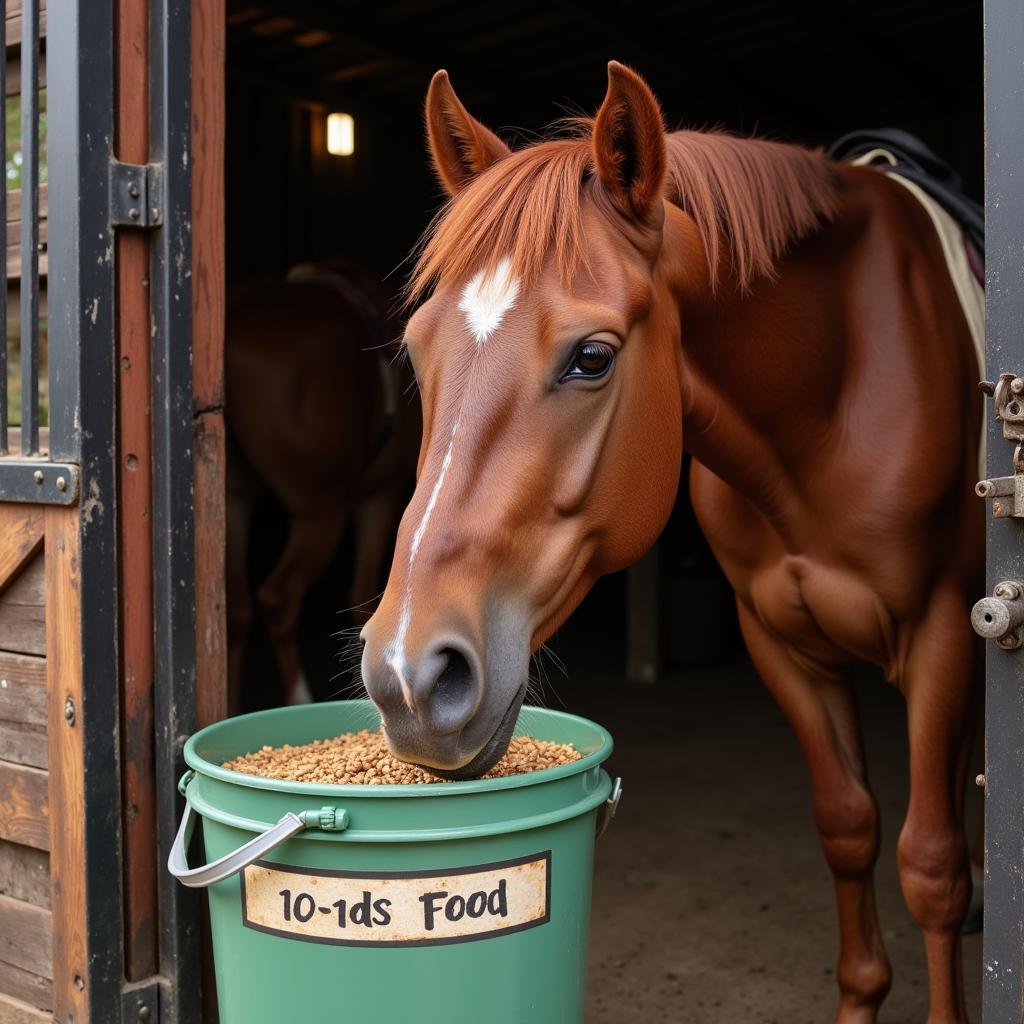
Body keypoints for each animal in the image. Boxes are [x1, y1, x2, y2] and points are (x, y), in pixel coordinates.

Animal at [228, 262, 419, 712]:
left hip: (234, 501)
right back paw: (298, 698)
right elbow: (365, 600)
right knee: (278, 598)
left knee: (237, 609)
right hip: (320, 512)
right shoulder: (379, 499)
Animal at [358, 68, 983, 1019]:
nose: (407, 675)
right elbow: (849, 826)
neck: (836, 387)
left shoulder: (944, 633)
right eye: (418, 353)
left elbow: (931, 864)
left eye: (591, 357)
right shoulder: (783, 644)